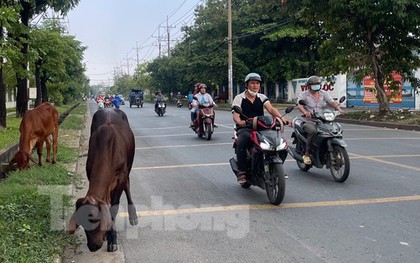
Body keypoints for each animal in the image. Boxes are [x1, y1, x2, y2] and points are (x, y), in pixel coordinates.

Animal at [68, 108, 139, 253]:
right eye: (82, 222)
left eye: (96, 220)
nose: (93, 246)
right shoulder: (90, 172)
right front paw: (108, 235)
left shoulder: (121, 176)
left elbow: (114, 207)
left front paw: (112, 239)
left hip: (129, 166)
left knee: (128, 186)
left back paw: (133, 216)